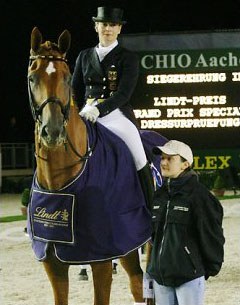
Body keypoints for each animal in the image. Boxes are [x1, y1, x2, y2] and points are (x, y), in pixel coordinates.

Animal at [26, 27, 165, 304]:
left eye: (67, 78)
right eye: (32, 77)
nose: (53, 132)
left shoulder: (102, 257)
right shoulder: (52, 261)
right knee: (137, 282)